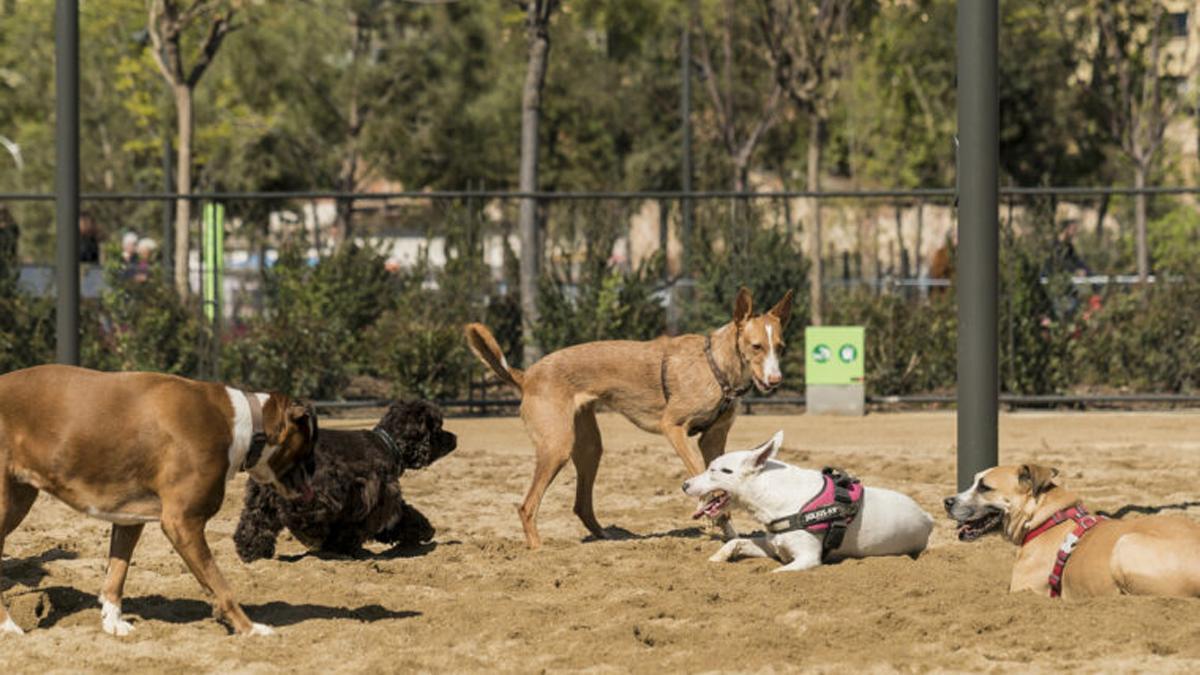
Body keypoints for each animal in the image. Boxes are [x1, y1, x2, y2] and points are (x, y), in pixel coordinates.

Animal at [0, 362, 319, 629]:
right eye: (310, 444)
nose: (316, 477)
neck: (246, 425)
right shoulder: (183, 523)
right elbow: (220, 585)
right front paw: (250, 630)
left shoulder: (128, 519)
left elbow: (116, 575)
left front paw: (113, 624)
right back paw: (9, 628)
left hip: (20, 500)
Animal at [232, 396, 453, 559]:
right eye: (438, 428)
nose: (455, 438)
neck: (388, 444)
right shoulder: (376, 497)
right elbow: (357, 528)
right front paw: (342, 547)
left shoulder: (385, 501)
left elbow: (405, 516)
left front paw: (425, 530)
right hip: (313, 493)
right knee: (295, 514)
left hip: (261, 496)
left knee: (255, 522)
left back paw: (252, 552)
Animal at [463, 283, 792, 547]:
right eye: (756, 346)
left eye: (779, 347)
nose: (776, 380)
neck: (716, 366)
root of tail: (527, 375)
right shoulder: (673, 428)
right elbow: (700, 471)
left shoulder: (713, 438)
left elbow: (719, 482)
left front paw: (728, 531)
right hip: (556, 448)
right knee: (527, 506)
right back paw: (538, 550)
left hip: (589, 448)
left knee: (582, 505)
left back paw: (609, 538)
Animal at [681, 429, 931, 566]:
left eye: (720, 471)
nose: (684, 485)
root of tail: (928, 518)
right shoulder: (773, 545)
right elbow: (734, 542)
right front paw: (714, 561)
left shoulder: (807, 559)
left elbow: (777, 572)